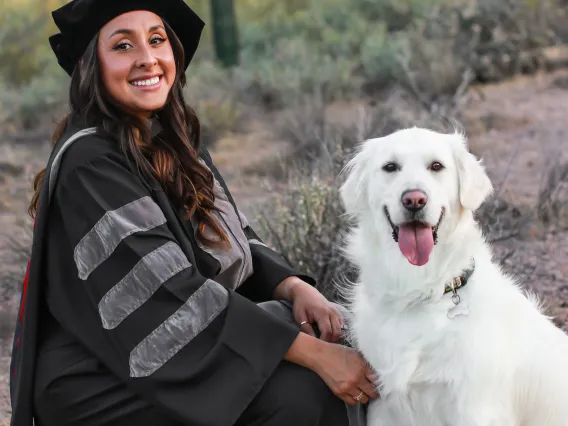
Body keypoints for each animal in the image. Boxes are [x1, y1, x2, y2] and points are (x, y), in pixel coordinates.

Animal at [340, 127, 568, 426]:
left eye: (436, 166)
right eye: (390, 167)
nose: (414, 200)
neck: (418, 288)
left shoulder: (473, 409)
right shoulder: (385, 408)